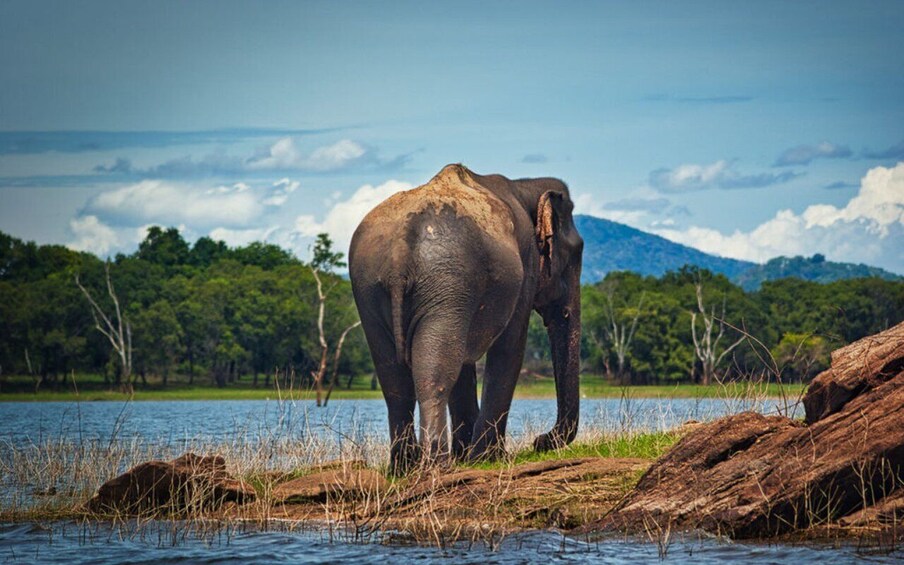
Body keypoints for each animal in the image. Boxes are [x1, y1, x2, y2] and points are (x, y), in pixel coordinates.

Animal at [349, 163, 583, 472]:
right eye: (577, 254)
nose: (540, 441)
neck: (525, 185)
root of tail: (400, 250)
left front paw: (469, 457)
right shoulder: (526, 269)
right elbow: (509, 349)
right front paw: (489, 458)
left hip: (370, 290)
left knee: (395, 381)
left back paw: (404, 468)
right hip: (444, 281)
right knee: (435, 370)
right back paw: (437, 466)